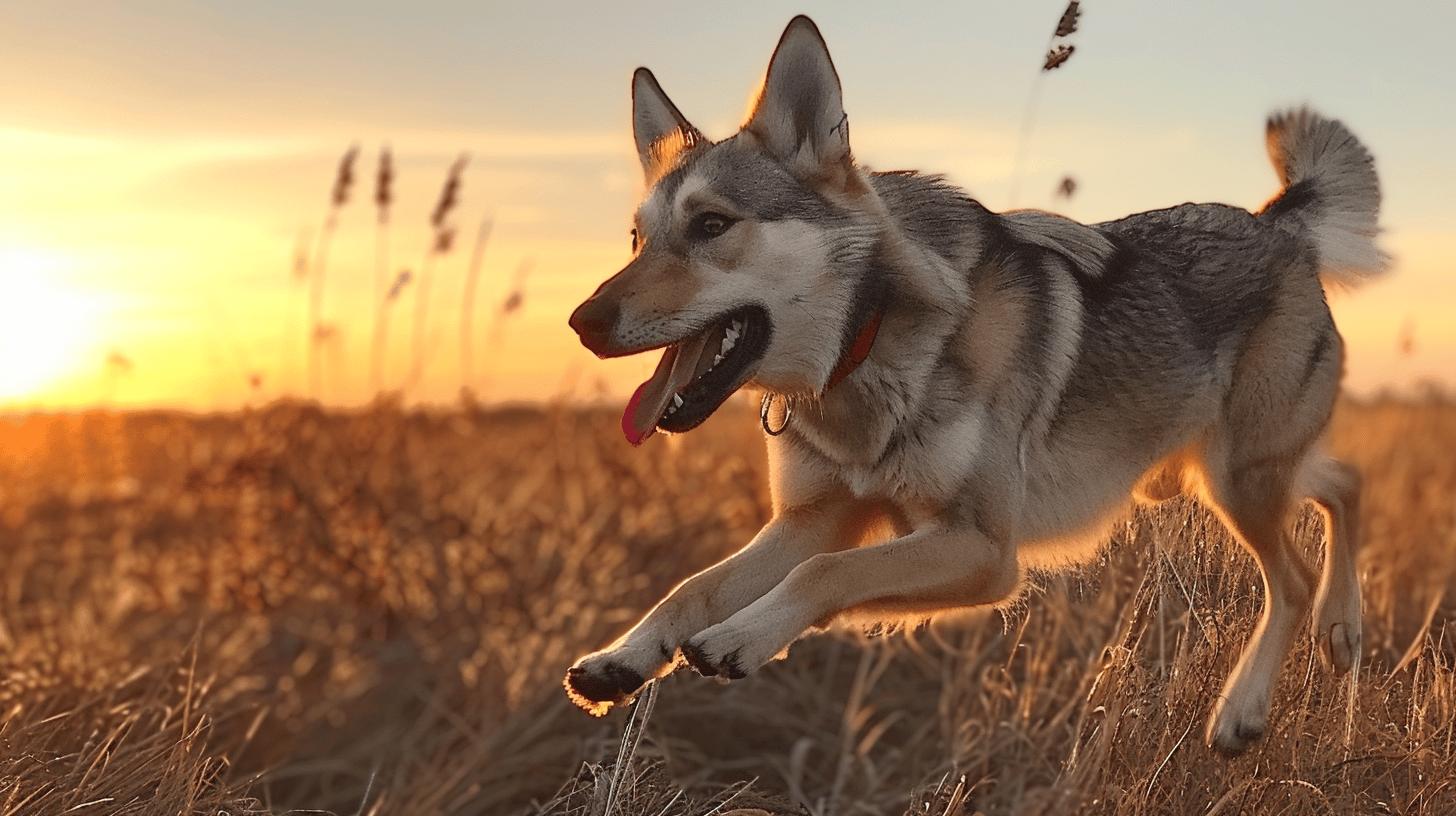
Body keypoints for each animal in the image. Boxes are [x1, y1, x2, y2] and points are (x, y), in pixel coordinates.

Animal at [562, 14, 1380, 751]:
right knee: (1345, 484)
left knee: (1293, 577)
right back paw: (1343, 629)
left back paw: (1244, 710)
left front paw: (744, 637)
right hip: (1201, 479)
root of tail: (1277, 224)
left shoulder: (983, 551)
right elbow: (696, 586)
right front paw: (622, 658)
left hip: (1235, 479)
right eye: (637, 239)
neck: (868, 352)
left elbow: (824, 574)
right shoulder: (817, 518)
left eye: (710, 225)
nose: (580, 320)